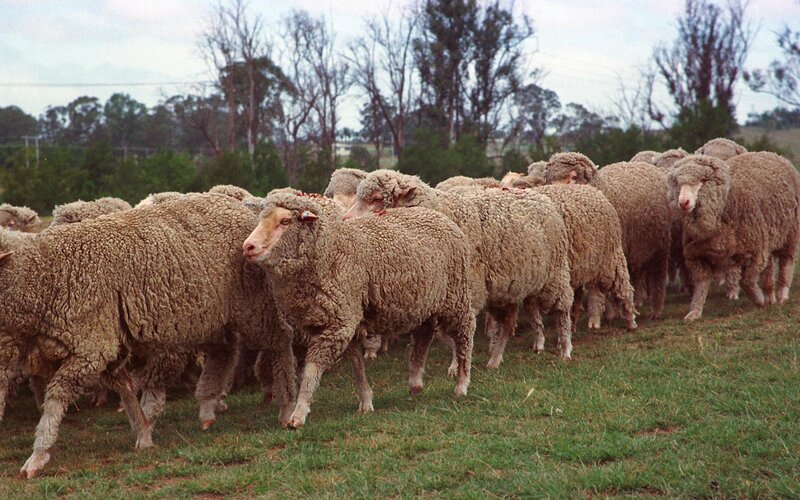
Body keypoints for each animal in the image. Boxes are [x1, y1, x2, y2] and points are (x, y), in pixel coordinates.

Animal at [0, 193, 295, 478]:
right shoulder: (106, 347)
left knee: (281, 339)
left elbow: (55, 400)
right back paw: (207, 408)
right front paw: (143, 432)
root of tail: (237, 207)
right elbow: (126, 390)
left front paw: (37, 455)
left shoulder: (91, 347)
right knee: (223, 352)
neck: (45, 273)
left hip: (253, 303)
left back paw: (286, 406)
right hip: (211, 317)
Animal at [243, 192, 477, 429]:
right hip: (424, 300)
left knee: (465, 331)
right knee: (424, 335)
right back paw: (415, 382)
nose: (248, 247)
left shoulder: (339, 324)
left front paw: (298, 414)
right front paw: (366, 402)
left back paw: (461, 383)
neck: (330, 252)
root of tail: (441, 217)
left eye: (285, 221)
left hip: (455, 295)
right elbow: (357, 366)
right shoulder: (344, 321)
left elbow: (311, 371)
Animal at [345, 170, 575, 367]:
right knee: (508, 324)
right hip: (509, 286)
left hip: (555, 273)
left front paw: (456, 365)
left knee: (563, 309)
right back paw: (495, 359)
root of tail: (538, 196)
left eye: (376, 199)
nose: (344, 220)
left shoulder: (465, 291)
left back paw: (565, 349)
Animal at [543, 153, 671, 321]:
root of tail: (645, 165)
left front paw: (607, 314)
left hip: (659, 248)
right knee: (635, 275)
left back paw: (655, 311)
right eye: (550, 179)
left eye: (574, 177)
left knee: (658, 279)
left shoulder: (608, 253)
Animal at [668, 152, 800, 321]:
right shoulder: (696, 256)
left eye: (702, 180)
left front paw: (759, 301)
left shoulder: (756, 251)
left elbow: (747, 281)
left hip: (790, 235)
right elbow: (701, 285)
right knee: (769, 267)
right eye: (678, 183)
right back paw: (770, 294)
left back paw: (782, 294)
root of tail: (770, 153)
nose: (683, 202)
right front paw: (694, 312)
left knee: (786, 262)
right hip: (769, 237)